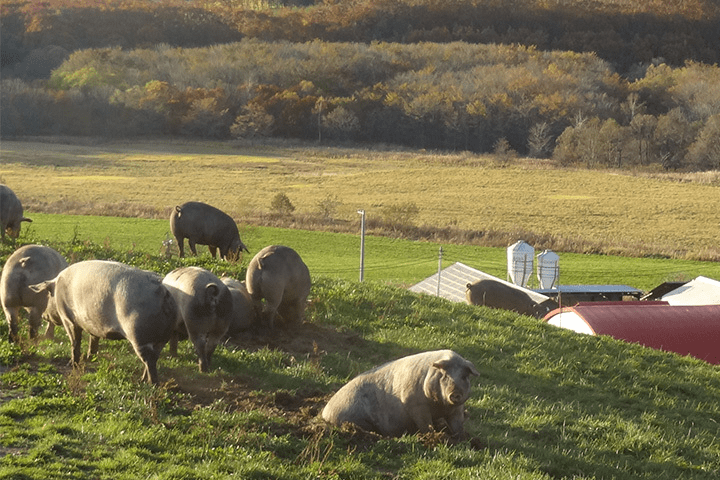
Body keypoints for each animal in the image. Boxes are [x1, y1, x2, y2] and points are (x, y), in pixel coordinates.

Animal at [29, 260, 179, 384]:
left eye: (49, 294)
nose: (44, 315)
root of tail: (163, 292)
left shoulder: (68, 319)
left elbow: (75, 342)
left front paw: (72, 364)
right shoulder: (92, 325)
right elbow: (93, 339)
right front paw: (90, 357)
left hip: (139, 334)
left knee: (150, 360)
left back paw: (150, 384)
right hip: (162, 338)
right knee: (154, 358)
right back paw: (143, 380)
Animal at [320, 348, 478, 438]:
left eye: (464, 377)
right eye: (445, 376)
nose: (455, 393)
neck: (439, 407)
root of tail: (324, 412)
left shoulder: (457, 408)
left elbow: (457, 425)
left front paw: (462, 439)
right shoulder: (414, 404)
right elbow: (425, 424)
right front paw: (434, 436)